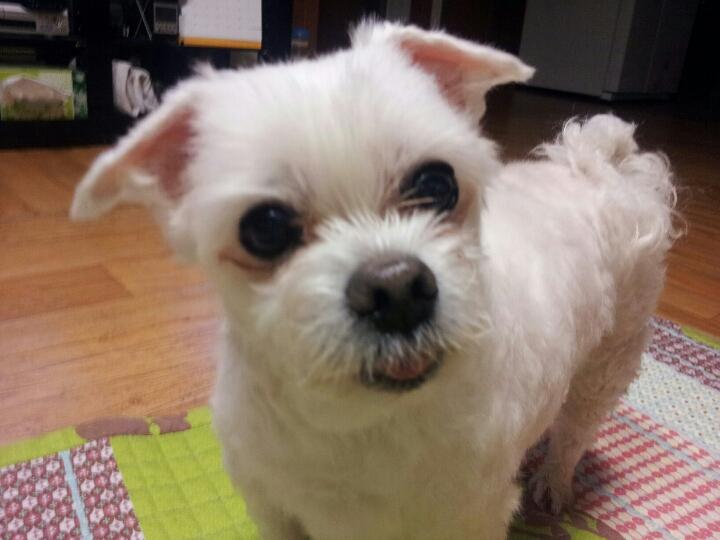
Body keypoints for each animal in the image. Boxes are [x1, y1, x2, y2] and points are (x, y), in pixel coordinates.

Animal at [70, 21, 677, 539]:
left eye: (437, 183)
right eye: (264, 228)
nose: (397, 288)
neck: (364, 422)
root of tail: (595, 163)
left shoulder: (470, 514)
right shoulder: (273, 504)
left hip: (610, 356)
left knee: (576, 428)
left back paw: (553, 481)